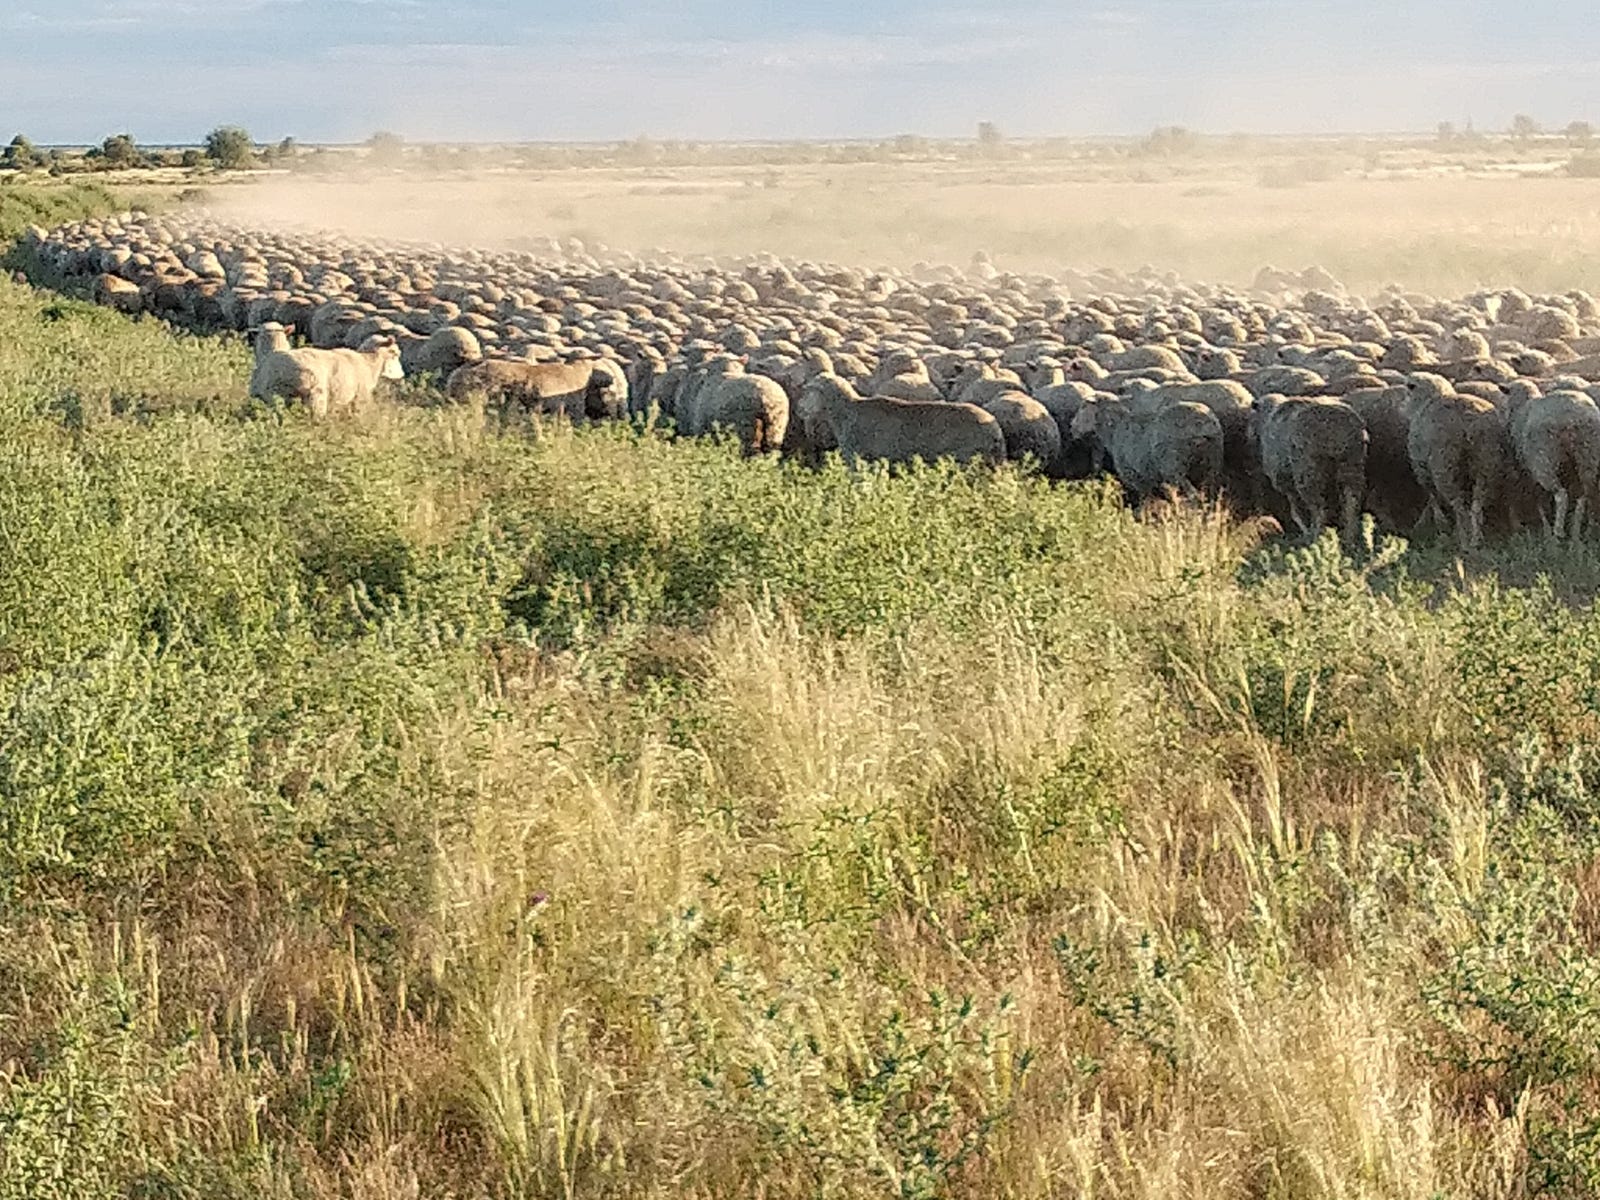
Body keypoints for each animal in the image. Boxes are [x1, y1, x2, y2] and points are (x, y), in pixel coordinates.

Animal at [797, 374, 1005, 468]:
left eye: (808, 391)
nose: (798, 409)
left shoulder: (858, 462)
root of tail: (995, 429)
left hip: (966, 460)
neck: (846, 413)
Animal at [1252, 395, 1368, 546]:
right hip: (1351, 464)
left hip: (1307, 471)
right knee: (1351, 502)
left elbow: (1296, 511)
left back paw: (1316, 536)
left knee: (1319, 508)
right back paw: (1349, 538)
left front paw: (1305, 531)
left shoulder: (1284, 480)